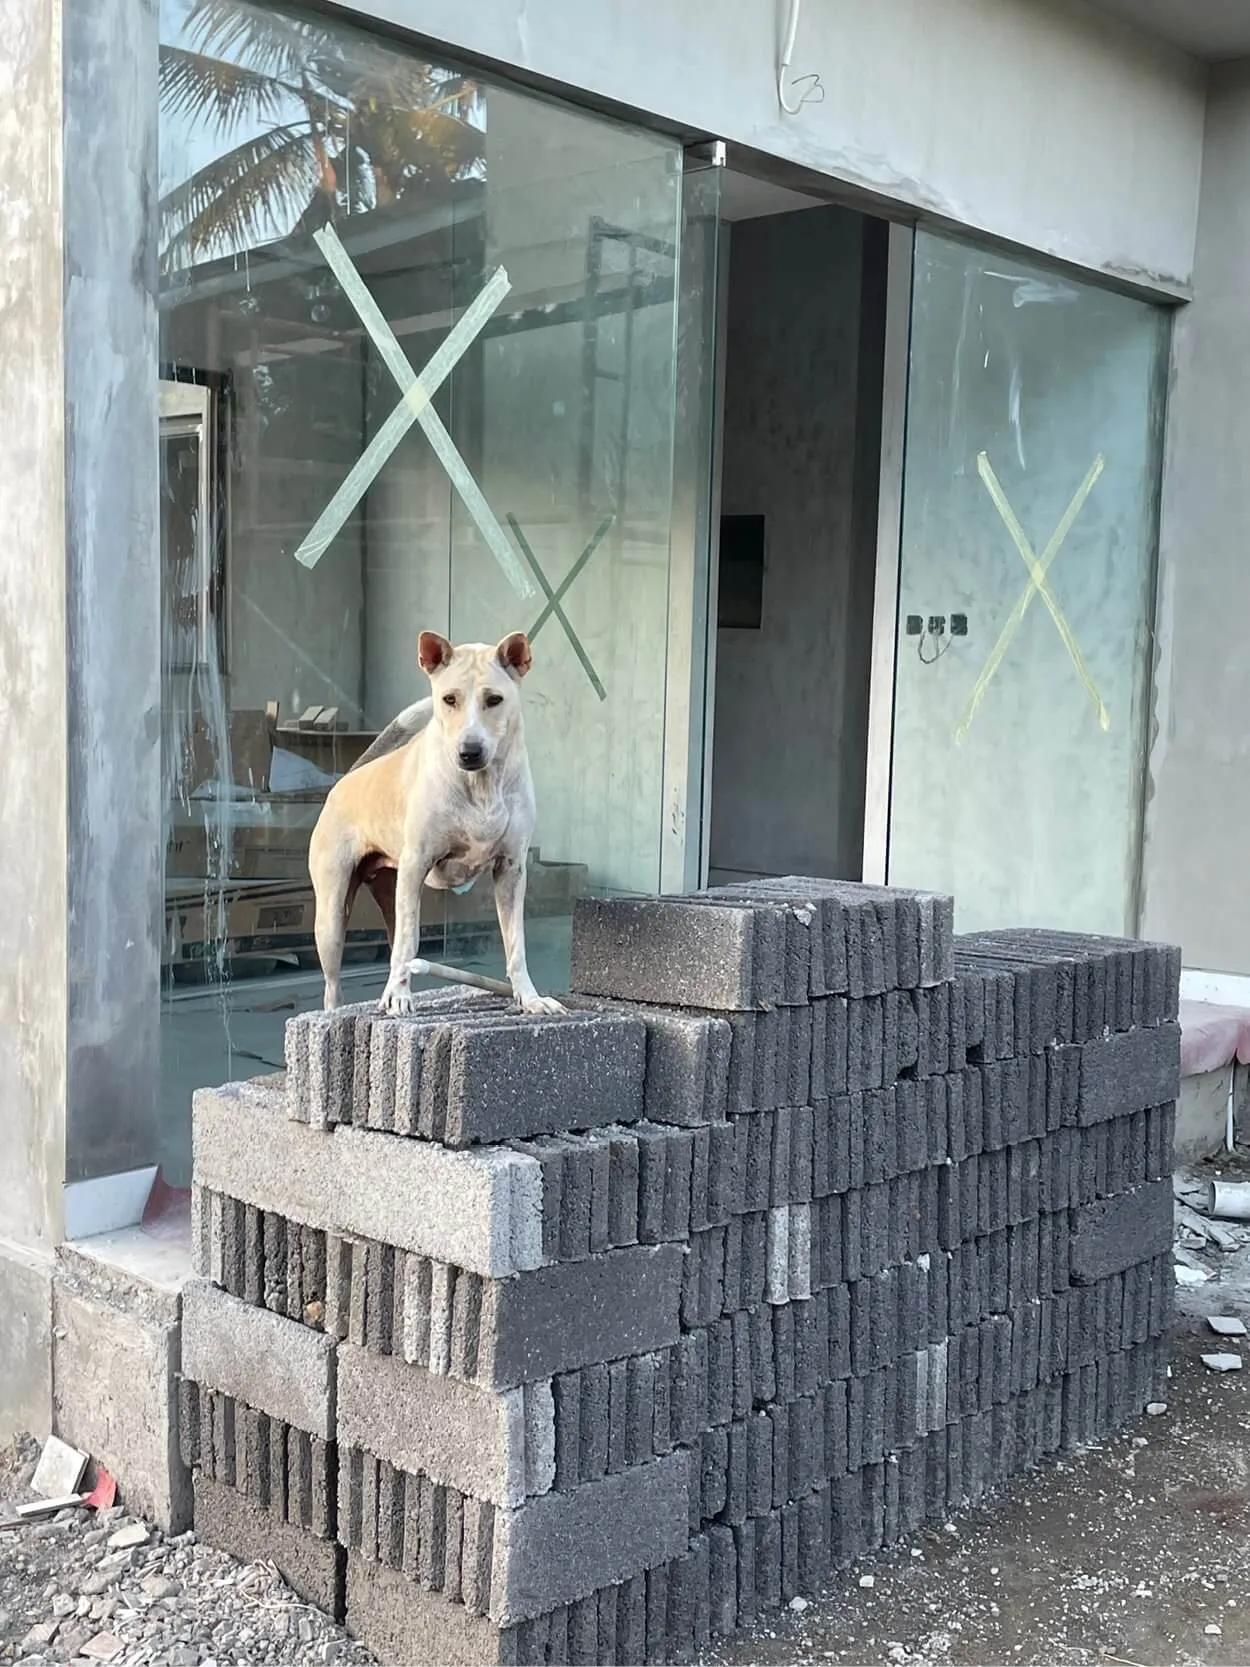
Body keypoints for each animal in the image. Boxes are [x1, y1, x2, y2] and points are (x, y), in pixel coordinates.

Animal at [311, 626, 566, 1006]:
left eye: (494, 699)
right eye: (449, 699)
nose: (469, 751)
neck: (480, 785)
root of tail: (345, 780)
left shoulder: (511, 868)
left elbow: (515, 945)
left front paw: (530, 999)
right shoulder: (417, 863)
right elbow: (409, 942)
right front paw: (399, 998)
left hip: (392, 891)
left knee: (394, 944)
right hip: (332, 916)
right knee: (336, 981)